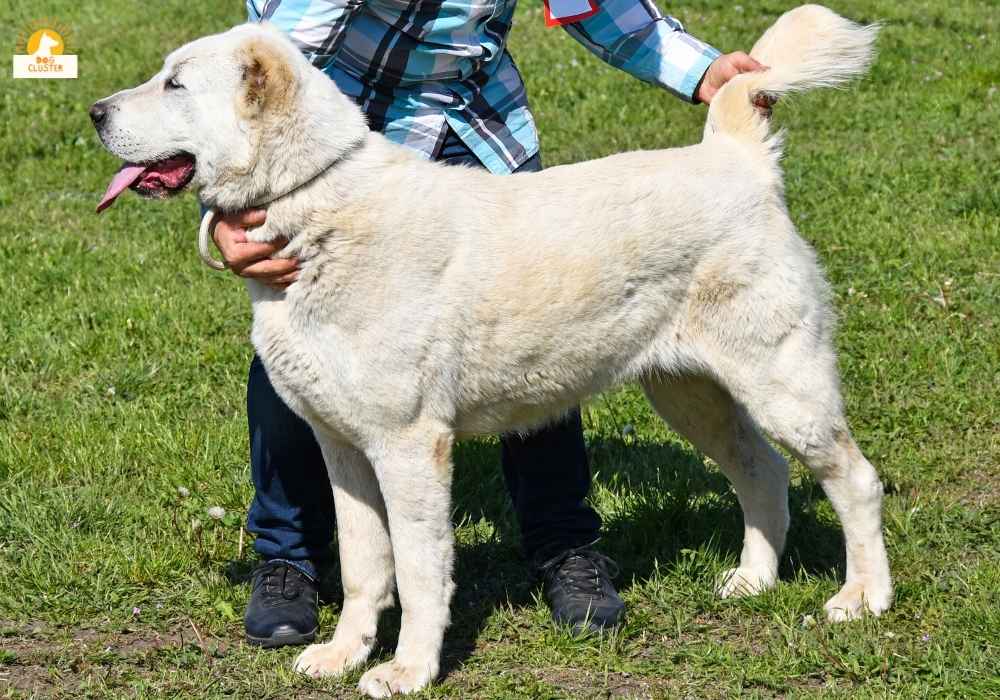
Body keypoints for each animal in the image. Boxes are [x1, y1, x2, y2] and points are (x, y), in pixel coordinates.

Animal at [92, 8, 892, 696]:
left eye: (175, 83)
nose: (96, 113)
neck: (318, 209)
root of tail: (735, 158)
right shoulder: (342, 448)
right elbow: (361, 566)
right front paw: (343, 655)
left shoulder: (410, 446)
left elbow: (419, 571)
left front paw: (407, 671)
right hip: (690, 392)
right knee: (761, 470)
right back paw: (752, 581)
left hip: (783, 385)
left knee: (854, 479)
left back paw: (863, 599)